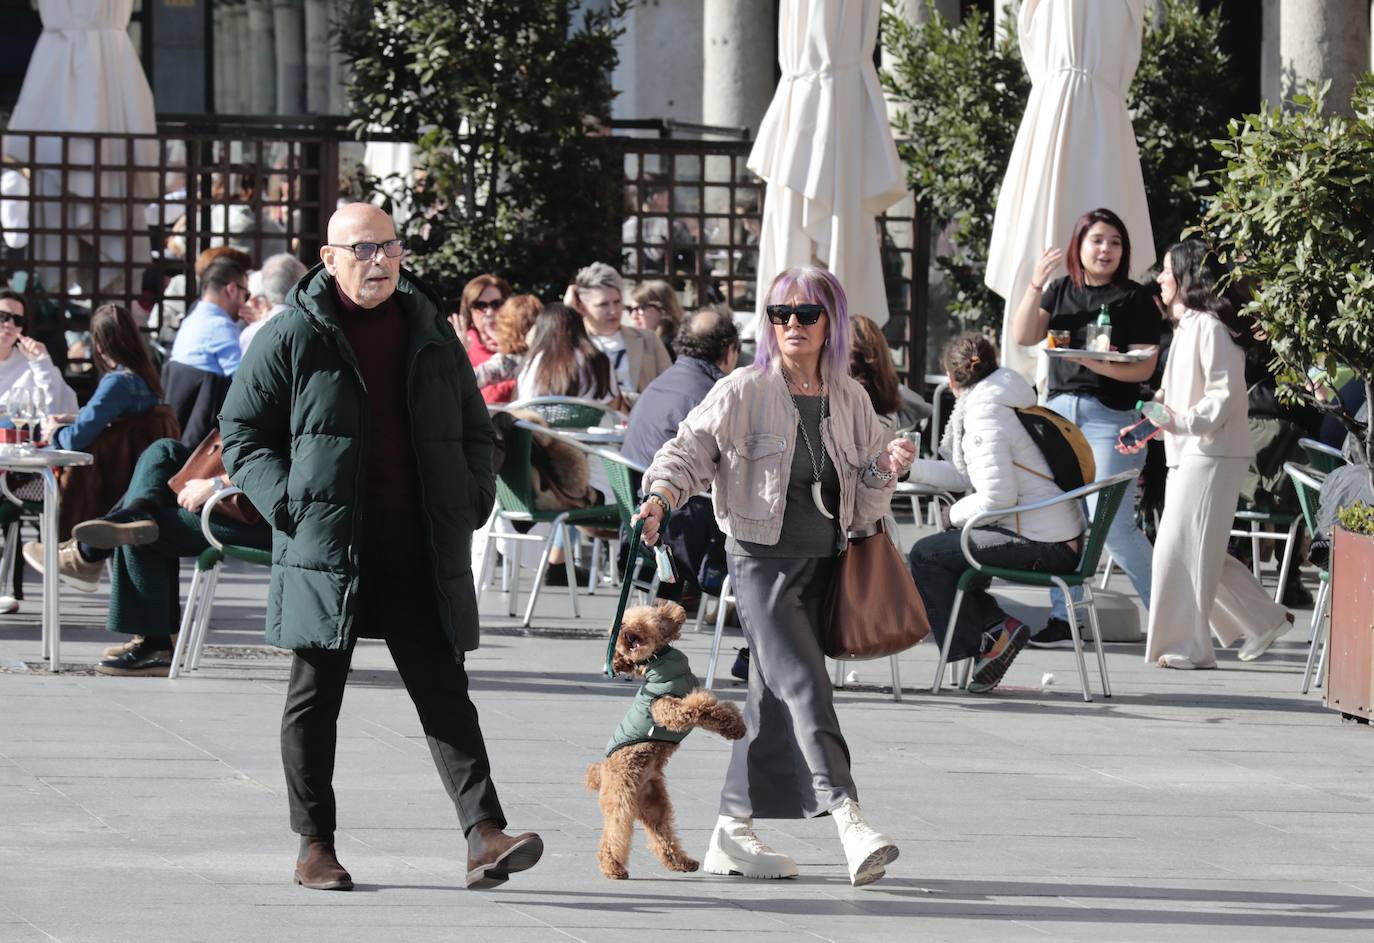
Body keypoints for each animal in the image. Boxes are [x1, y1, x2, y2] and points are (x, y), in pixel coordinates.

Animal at [585, 604, 747, 879]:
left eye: (633, 620)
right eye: (621, 624)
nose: (626, 634)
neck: (657, 661)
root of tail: (601, 772)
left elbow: (717, 710)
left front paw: (736, 727)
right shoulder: (664, 707)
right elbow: (696, 706)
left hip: (654, 803)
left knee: (661, 834)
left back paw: (681, 862)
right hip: (620, 798)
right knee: (614, 832)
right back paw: (612, 867)